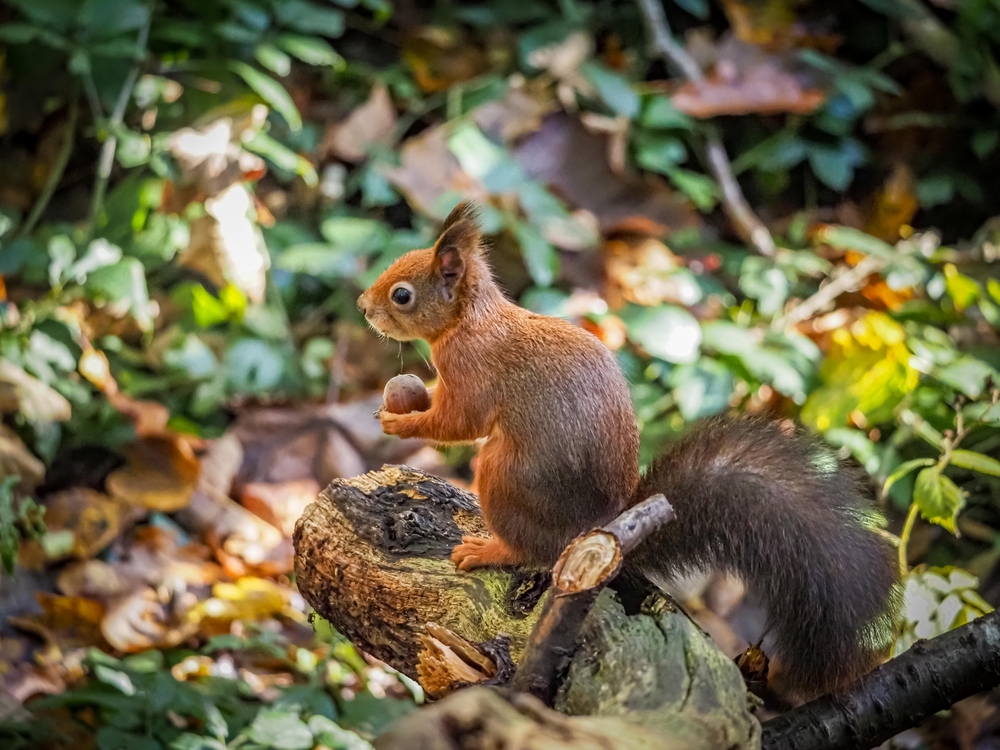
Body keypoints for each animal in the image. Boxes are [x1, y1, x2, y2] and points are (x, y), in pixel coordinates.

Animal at [356, 202, 902, 701]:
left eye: (402, 295)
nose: (363, 305)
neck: (469, 320)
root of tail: (599, 527)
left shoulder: (472, 371)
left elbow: (458, 422)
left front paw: (400, 421)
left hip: (502, 474)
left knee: (530, 548)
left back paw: (488, 549)